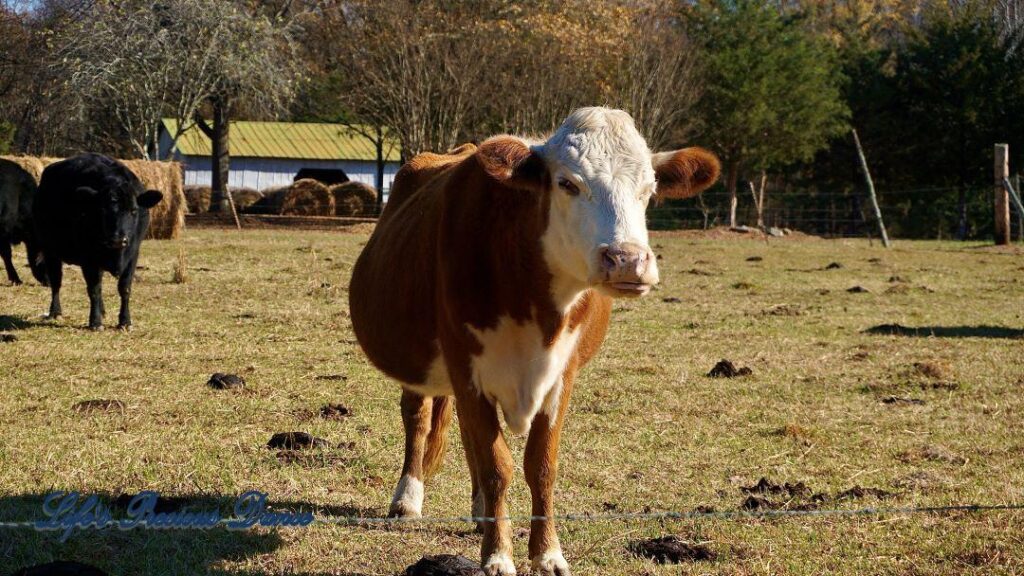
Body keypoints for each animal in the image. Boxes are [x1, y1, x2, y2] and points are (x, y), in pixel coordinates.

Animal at [34, 154, 160, 330]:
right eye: (102, 210)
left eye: (134, 210)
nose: (117, 239)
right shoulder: (88, 258)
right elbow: (94, 289)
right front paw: (95, 322)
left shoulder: (133, 255)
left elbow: (125, 288)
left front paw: (125, 321)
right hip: (50, 250)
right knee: (56, 282)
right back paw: (55, 312)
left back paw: (103, 311)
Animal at [352, 107, 720, 573]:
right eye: (567, 183)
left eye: (648, 191)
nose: (628, 260)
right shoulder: (466, 367)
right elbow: (498, 464)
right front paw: (497, 554)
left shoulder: (562, 373)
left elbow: (539, 464)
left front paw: (547, 552)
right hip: (419, 363)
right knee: (417, 419)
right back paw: (408, 497)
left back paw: (479, 511)